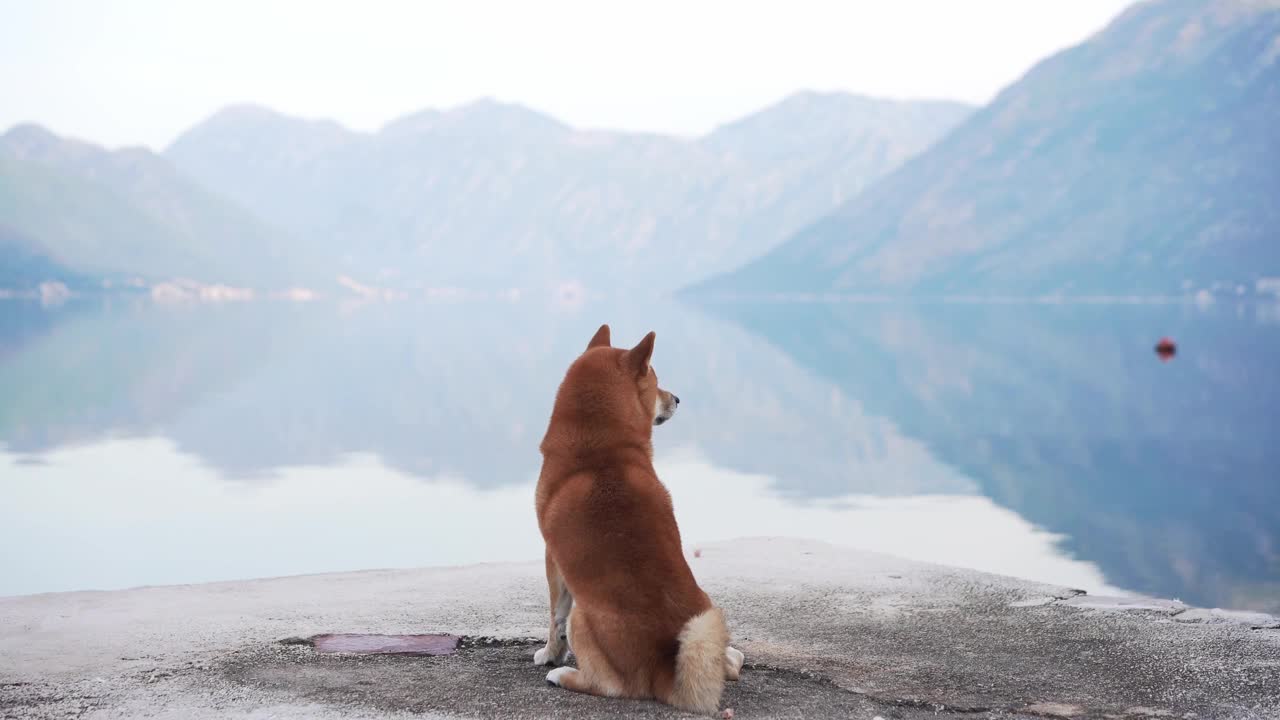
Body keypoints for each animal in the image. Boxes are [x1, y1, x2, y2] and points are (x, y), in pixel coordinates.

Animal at [535, 324, 747, 712]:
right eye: (657, 381)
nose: (677, 398)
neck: (599, 450)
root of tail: (662, 670)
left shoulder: (552, 558)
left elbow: (554, 616)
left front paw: (550, 653)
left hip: (582, 617)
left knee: (610, 686)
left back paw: (563, 675)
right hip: (707, 608)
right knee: (729, 662)